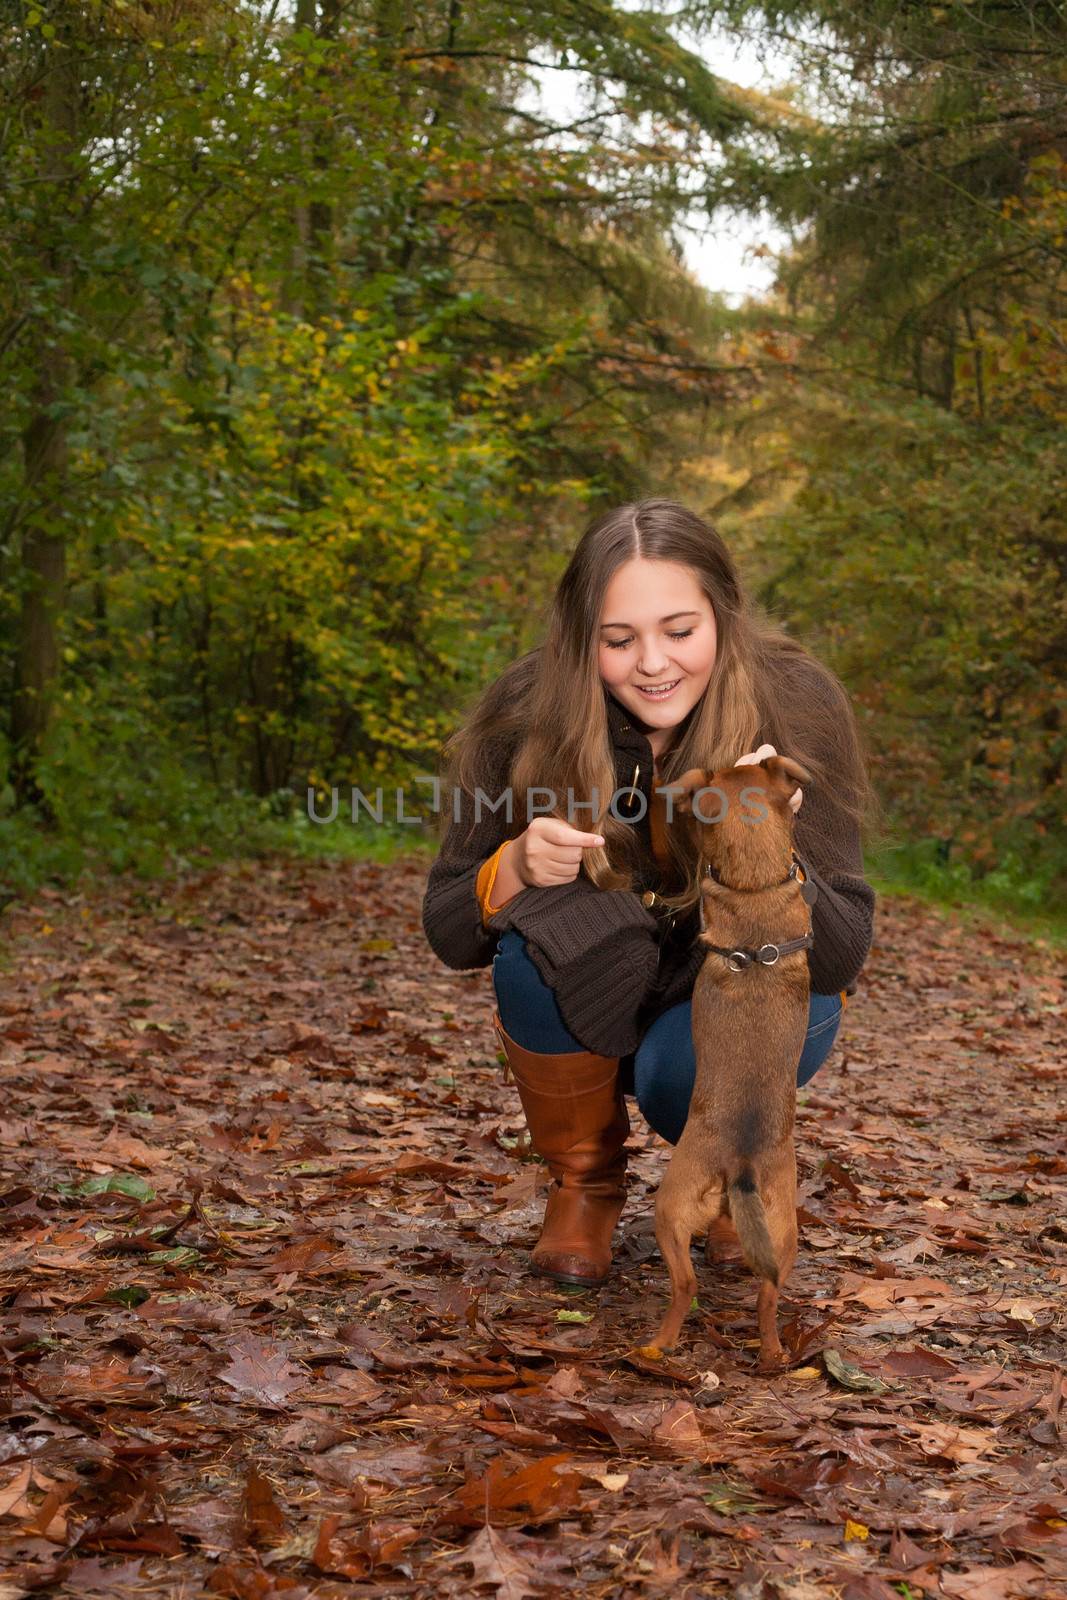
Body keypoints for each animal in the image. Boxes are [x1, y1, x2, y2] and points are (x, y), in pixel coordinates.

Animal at [643, 755, 819, 1369]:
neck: (755, 885)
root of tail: (739, 1164)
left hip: (670, 1210)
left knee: (685, 1287)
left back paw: (657, 1345)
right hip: (783, 1231)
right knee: (768, 1298)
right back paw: (771, 1352)